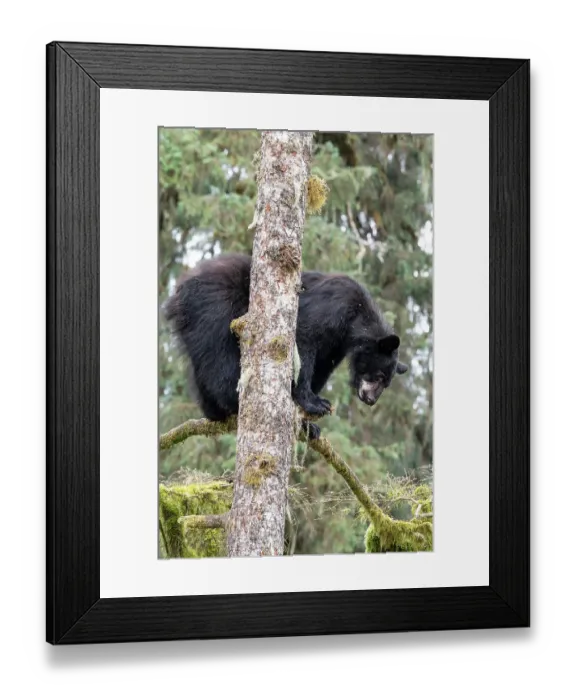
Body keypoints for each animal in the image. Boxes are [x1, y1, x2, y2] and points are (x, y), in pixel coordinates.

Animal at [163, 253, 408, 439]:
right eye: (379, 377)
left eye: (385, 383)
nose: (371, 400)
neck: (356, 318)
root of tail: (178, 290)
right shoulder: (330, 308)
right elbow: (304, 343)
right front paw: (313, 402)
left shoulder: (336, 344)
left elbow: (322, 366)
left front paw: (310, 423)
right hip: (215, 305)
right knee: (217, 353)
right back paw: (232, 399)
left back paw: (214, 411)